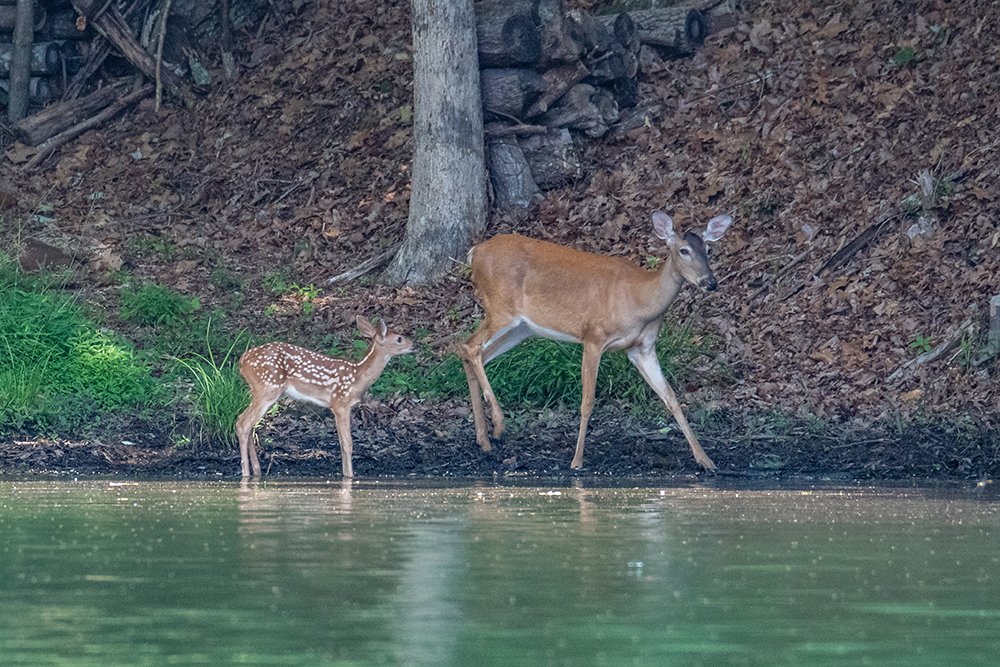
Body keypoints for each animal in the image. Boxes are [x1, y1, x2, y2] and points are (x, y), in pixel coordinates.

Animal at [235, 316, 413, 478]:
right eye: (399, 338)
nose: (413, 344)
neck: (358, 377)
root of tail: (243, 361)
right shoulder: (341, 402)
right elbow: (347, 443)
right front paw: (350, 476)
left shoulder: (337, 406)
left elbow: (341, 443)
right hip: (268, 388)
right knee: (243, 423)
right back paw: (245, 473)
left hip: (262, 391)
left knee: (248, 423)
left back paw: (257, 471)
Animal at [458, 210, 733, 471]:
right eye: (683, 250)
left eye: (709, 249)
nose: (710, 283)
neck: (639, 301)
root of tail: (475, 252)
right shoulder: (593, 337)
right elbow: (587, 402)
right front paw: (576, 461)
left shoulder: (642, 348)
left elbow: (671, 398)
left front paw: (705, 460)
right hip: (500, 309)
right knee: (469, 346)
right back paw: (498, 426)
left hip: (522, 329)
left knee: (474, 352)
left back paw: (484, 440)